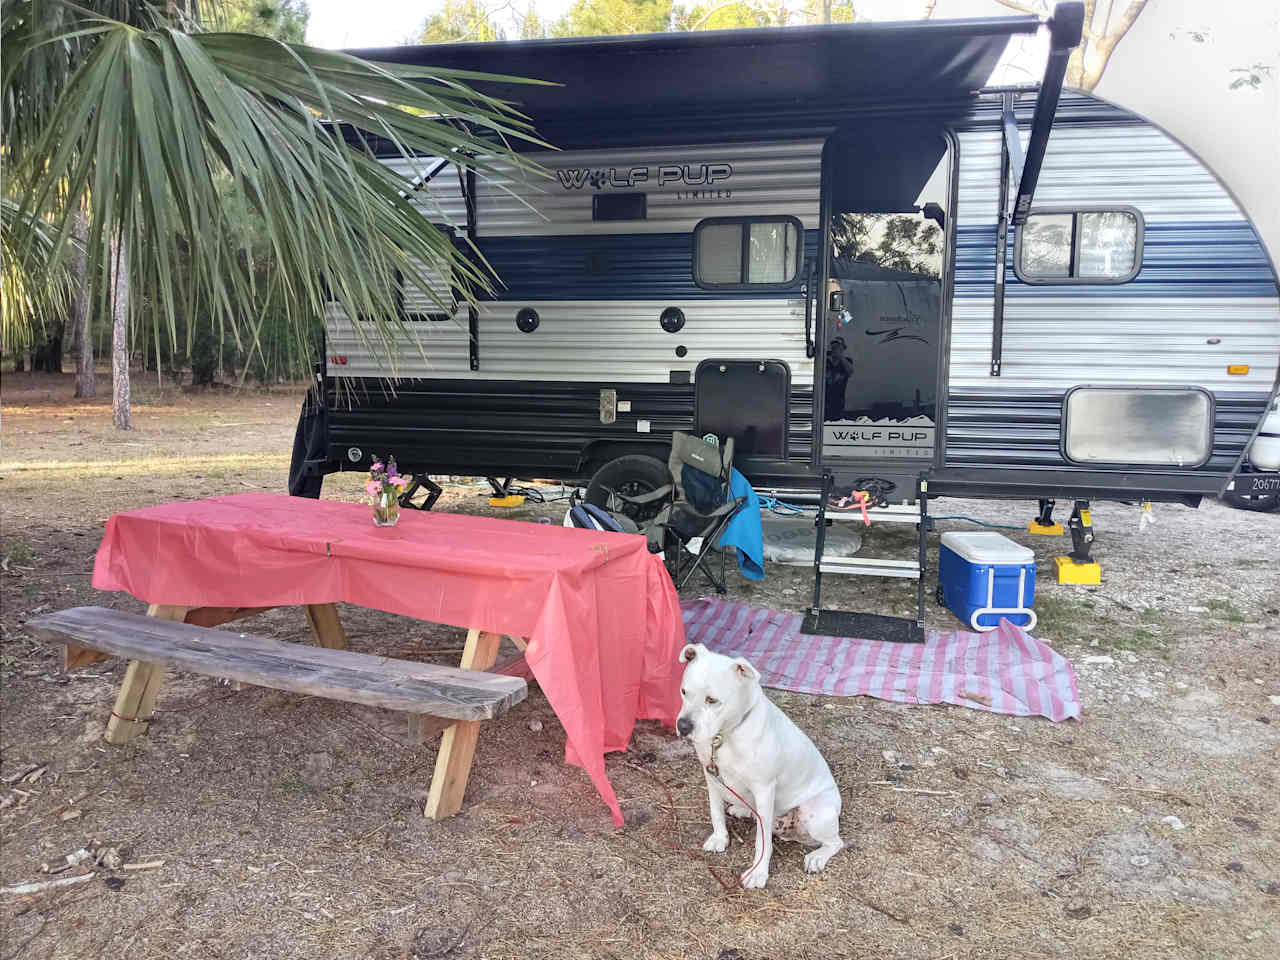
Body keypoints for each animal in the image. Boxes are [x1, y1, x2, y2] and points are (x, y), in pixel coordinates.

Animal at [675, 642, 844, 890]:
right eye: (684, 692)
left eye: (712, 700)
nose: (683, 726)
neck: (726, 735)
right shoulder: (711, 775)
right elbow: (716, 811)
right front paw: (720, 838)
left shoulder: (764, 789)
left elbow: (761, 842)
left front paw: (758, 872)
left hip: (815, 813)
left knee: (836, 842)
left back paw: (817, 857)